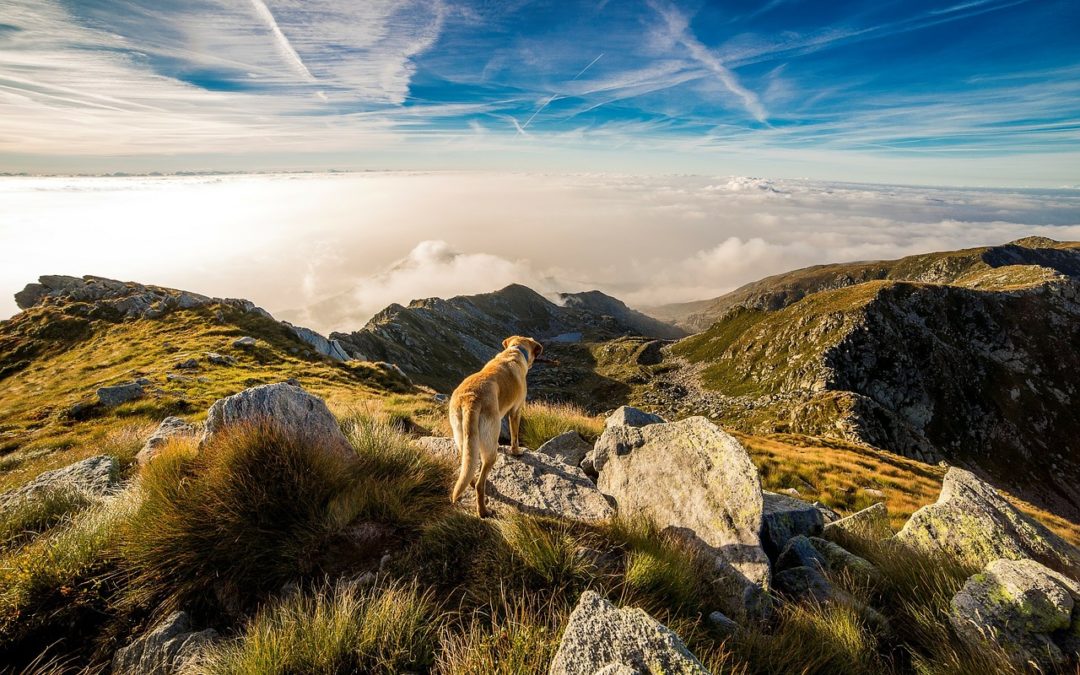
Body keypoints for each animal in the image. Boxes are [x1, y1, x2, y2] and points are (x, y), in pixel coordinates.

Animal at [449, 334, 544, 516]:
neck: (514, 350)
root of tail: (471, 400)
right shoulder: (515, 411)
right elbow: (515, 436)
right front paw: (516, 452)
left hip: (463, 437)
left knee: (468, 466)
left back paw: (470, 483)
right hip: (490, 446)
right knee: (481, 484)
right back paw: (483, 511)